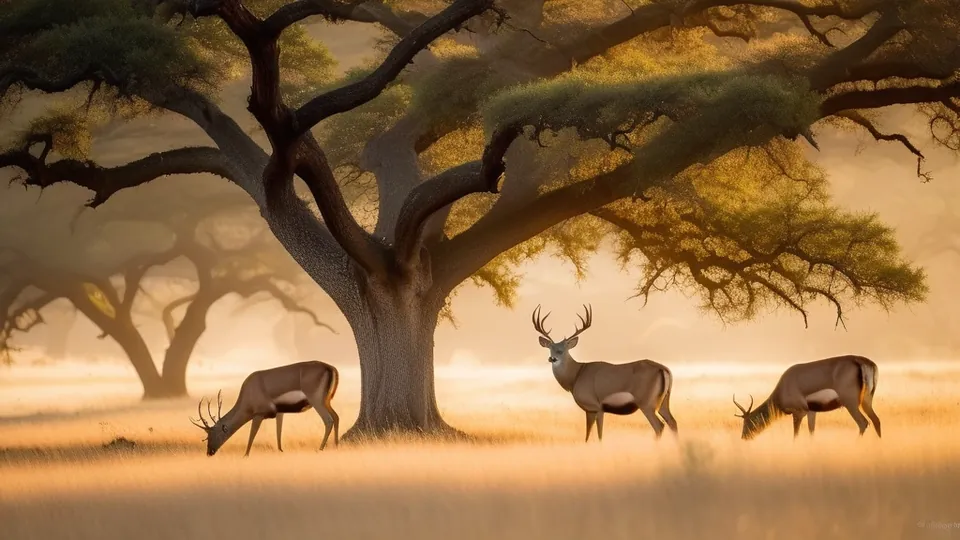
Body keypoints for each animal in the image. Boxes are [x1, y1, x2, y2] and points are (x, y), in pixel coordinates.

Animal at [190, 360, 340, 456]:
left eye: (212, 433)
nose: (209, 452)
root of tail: (330, 368)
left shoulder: (258, 415)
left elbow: (252, 434)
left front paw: (245, 455)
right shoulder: (280, 412)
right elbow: (278, 431)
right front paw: (280, 451)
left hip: (317, 402)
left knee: (328, 420)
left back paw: (320, 449)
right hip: (326, 401)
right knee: (336, 417)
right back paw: (336, 445)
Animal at [532, 304, 679, 441]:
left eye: (563, 349)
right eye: (551, 348)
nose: (552, 358)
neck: (576, 376)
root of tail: (663, 369)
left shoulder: (597, 406)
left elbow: (599, 435)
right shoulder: (589, 410)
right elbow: (587, 435)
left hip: (646, 403)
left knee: (659, 426)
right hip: (664, 401)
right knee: (672, 422)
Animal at [733, 355, 881, 440]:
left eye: (748, 421)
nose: (743, 437)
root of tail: (863, 362)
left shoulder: (799, 413)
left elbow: (796, 435)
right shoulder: (812, 411)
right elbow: (811, 432)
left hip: (851, 404)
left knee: (863, 423)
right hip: (866, 402)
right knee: (876, 421)